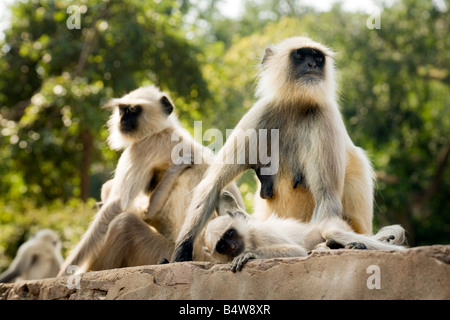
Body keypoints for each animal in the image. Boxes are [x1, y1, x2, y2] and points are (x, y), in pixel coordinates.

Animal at [58, 85, 244, 276]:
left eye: (133, 110)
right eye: (122, 110)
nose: (122, 119)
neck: (161, 130)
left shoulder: (142, 147)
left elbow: (117, 206)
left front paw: (64, 271)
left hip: (159, 250)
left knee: (123, 223)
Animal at [173, 37, 376, 262]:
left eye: (317, 58)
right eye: (300, 55)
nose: (312, 65)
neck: (296, 105)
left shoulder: (325, 117)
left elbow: (327, 197)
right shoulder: (261, 113)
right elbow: (212, 184)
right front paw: (182, 250)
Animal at [206, 191, 406, 272]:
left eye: (230, 234)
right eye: (222, 245)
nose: (233, 246)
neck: (248, 238)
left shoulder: (260, 232)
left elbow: (297, 251)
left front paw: (249, 255)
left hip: (332, 225)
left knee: (332, 233)